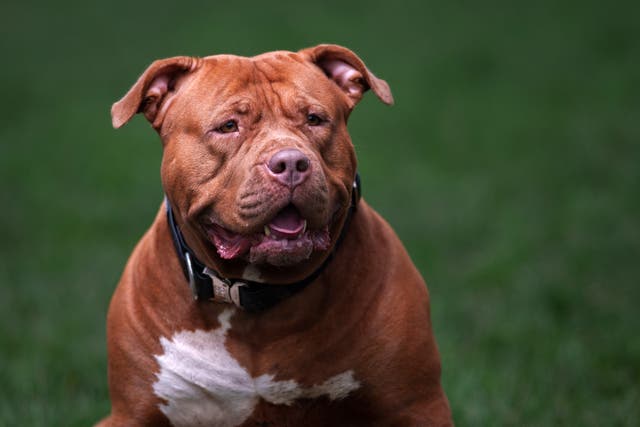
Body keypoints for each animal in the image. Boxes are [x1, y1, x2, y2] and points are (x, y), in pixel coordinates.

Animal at [97, 45, 452, 426]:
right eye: (228, 126)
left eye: (314, 119)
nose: (291, 163)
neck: (255, 297)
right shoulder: (129, 415)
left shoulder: (418, 406)